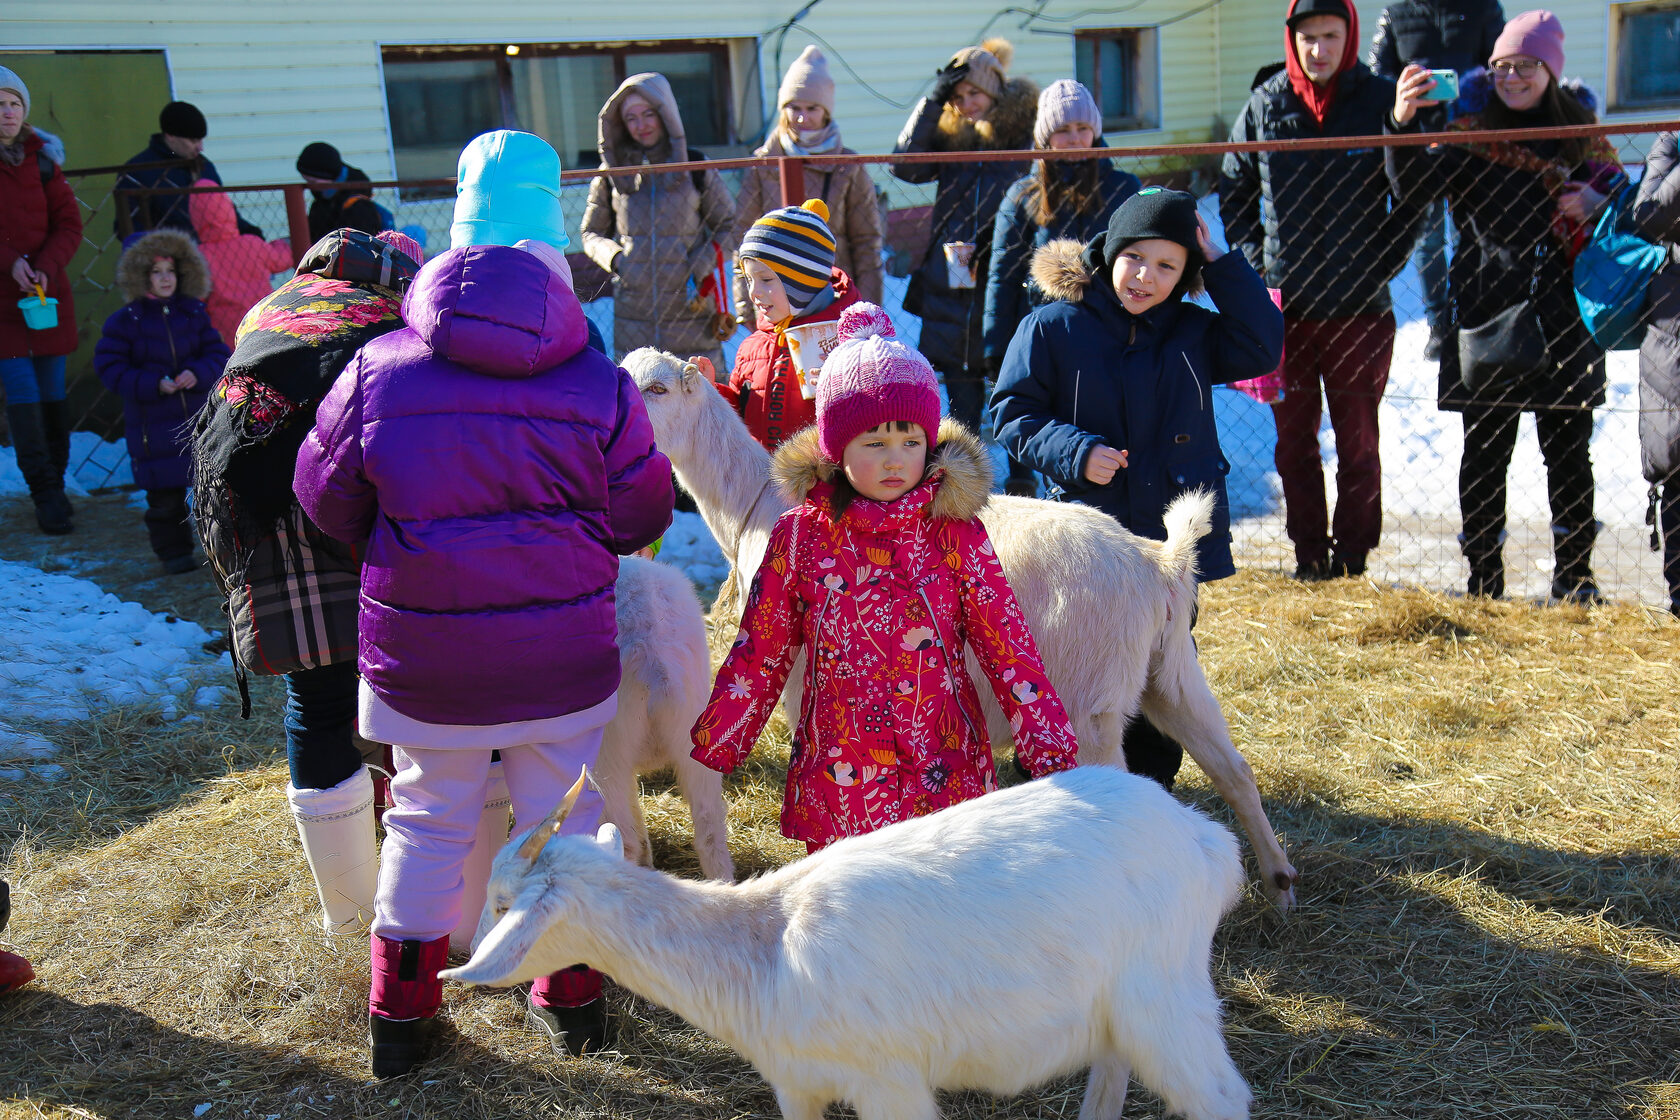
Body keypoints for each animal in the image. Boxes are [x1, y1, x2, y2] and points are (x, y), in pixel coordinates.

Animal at [440, 762, 1256, 1120]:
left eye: (502, 902)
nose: (459, 954)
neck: (763, 951)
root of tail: (1206, 840)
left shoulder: (890, 1082)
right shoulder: (795, 1083)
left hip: (1169, 999)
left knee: (1223, 1095)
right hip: (1123, 1009)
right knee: (1113, 1075)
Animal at [624, 350, 1303, 913]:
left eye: (657, 388)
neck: (752, 505)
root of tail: (1161, 561)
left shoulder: (798, 681)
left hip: (1092, 705)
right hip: (1173, 672)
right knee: (1235, 771)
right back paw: (1280, 885)